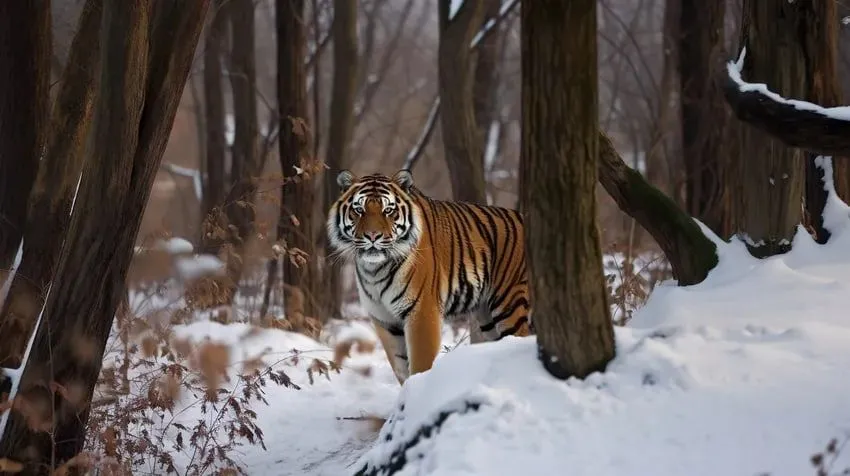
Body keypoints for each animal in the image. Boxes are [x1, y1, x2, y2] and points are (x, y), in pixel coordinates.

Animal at [326, 169, 531, 384]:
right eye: (359, 210)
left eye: (388, 210)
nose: (373, 236)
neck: (375, 269)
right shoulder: (384, 319)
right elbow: (401, 367)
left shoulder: (421, 310)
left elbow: (420, 364)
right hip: (488, 318)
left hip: (511, 305)